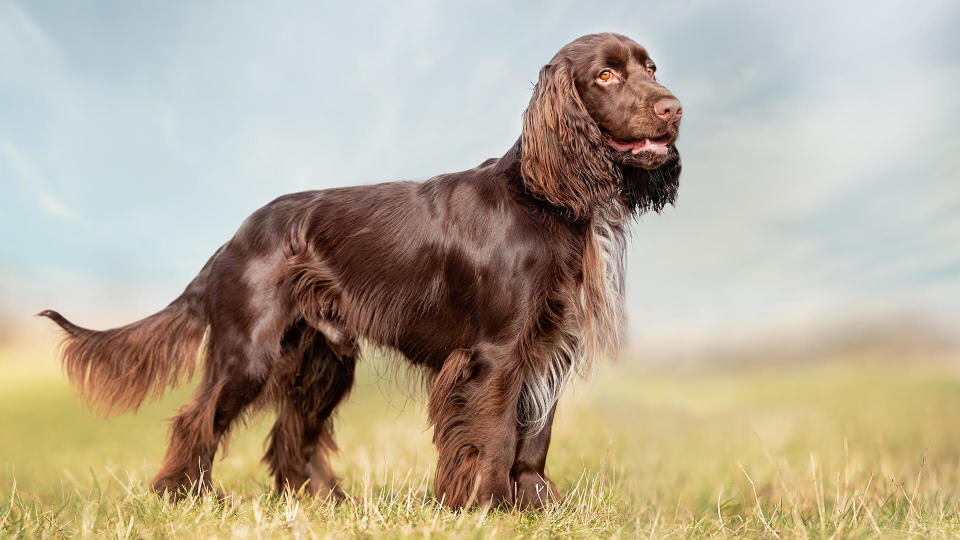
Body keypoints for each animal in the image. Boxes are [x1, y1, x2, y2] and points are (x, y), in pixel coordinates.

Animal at [41, 32, 680, 506]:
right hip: (250, 351)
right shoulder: (496, 353)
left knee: (290, 435)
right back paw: (185, 494)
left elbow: (534, 440)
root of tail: (234, 239)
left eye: (651, 66)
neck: (546, 196)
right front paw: (488, 506)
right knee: (195, 418)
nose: (673, 108)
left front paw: (535, 508)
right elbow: (495, 434)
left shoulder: (548, 346)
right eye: (606, 76)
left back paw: (322, 500)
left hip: (322, 359)